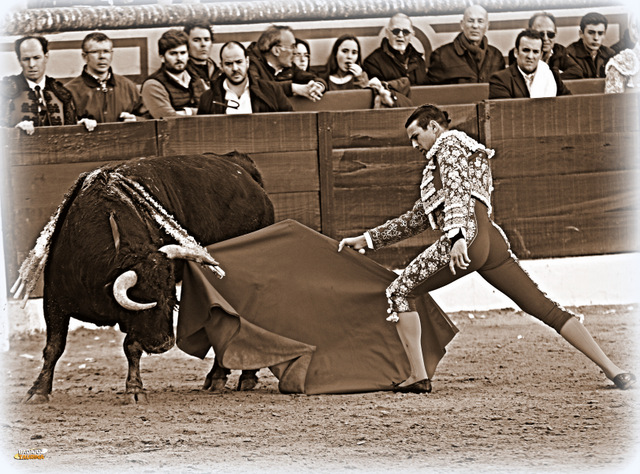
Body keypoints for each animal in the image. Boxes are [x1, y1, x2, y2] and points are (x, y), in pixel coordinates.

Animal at [11, 152, 272, 404]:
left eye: (172, 300)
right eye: (148, 300)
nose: (164, 344)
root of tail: (239, 166)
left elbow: (131, 347)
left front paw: (135, 390)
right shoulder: (54, 299)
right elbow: (53, 347)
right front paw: (38, 391)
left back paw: (233, 377)